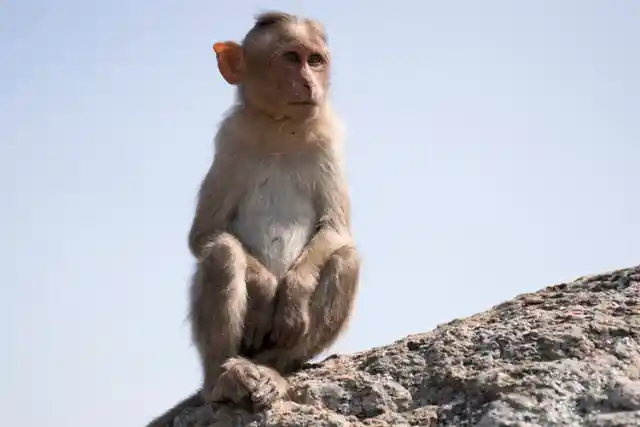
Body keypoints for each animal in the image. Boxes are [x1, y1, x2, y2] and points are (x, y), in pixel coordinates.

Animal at [144, 10, 360, 427]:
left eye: (315, 60)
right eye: (291, 58)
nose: (309, 83)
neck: (280, 126)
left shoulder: (329, 141)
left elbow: (336, 230)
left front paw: (292, 293)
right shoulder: (230, 141)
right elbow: (205, 233)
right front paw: (262, 290)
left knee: (346, 258)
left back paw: (274, 369)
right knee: (222, 254)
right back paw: (224, 378)